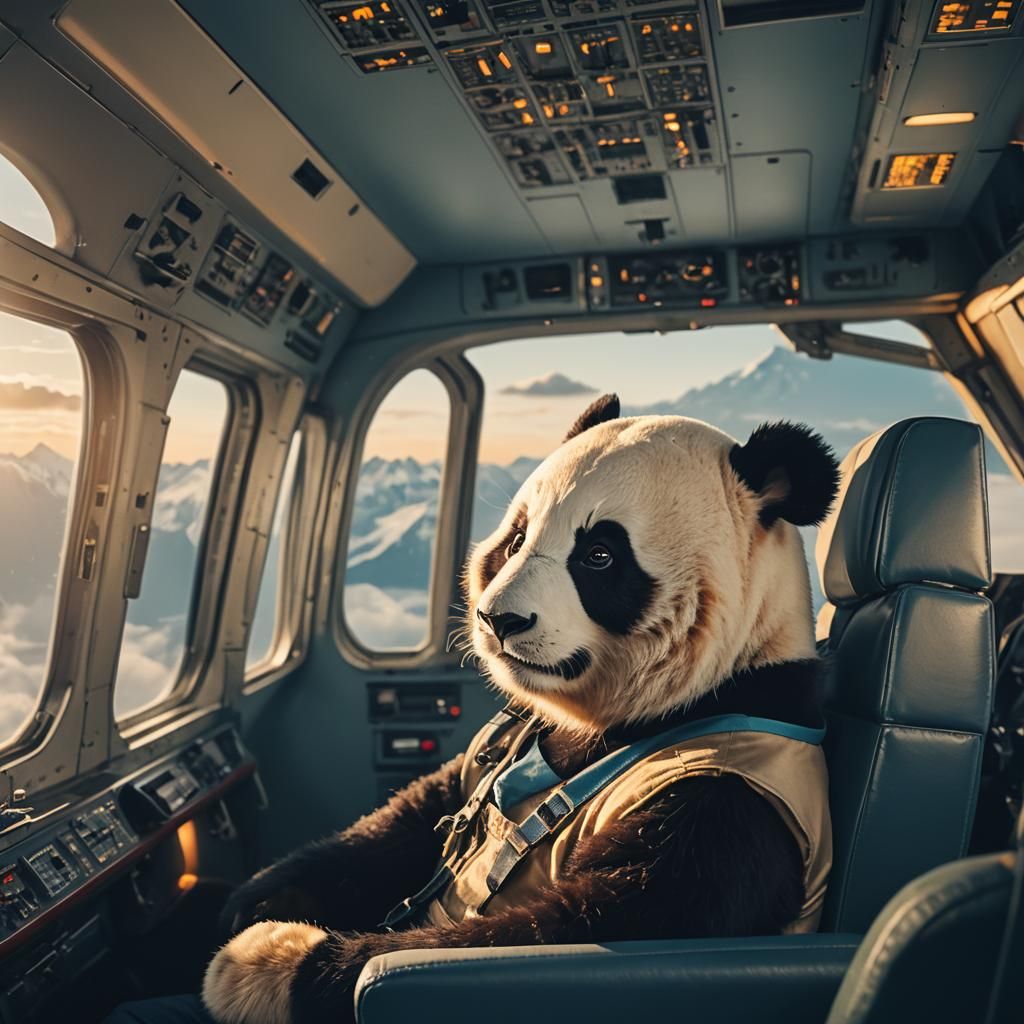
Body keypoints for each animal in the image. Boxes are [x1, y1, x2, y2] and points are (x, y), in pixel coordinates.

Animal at [202, 395, 840, 1024]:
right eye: (516, 539)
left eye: (600, 555)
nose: (498, 619)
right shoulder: (498, 741)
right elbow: (413, 815)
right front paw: (257, 898)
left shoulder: (722, 802)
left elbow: (599, 918)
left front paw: (265, 958)